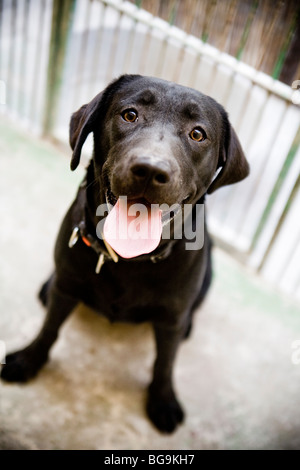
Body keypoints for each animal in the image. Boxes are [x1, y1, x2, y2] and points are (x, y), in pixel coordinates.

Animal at [0, 74, 248, 434]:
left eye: (198, 134)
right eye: (129, 115)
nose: (150, 169)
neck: (131, 260)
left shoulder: (170, 319)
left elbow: (165, 362)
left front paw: (163, 400)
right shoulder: (68, 285)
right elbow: (49, 329)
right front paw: (28, 360)